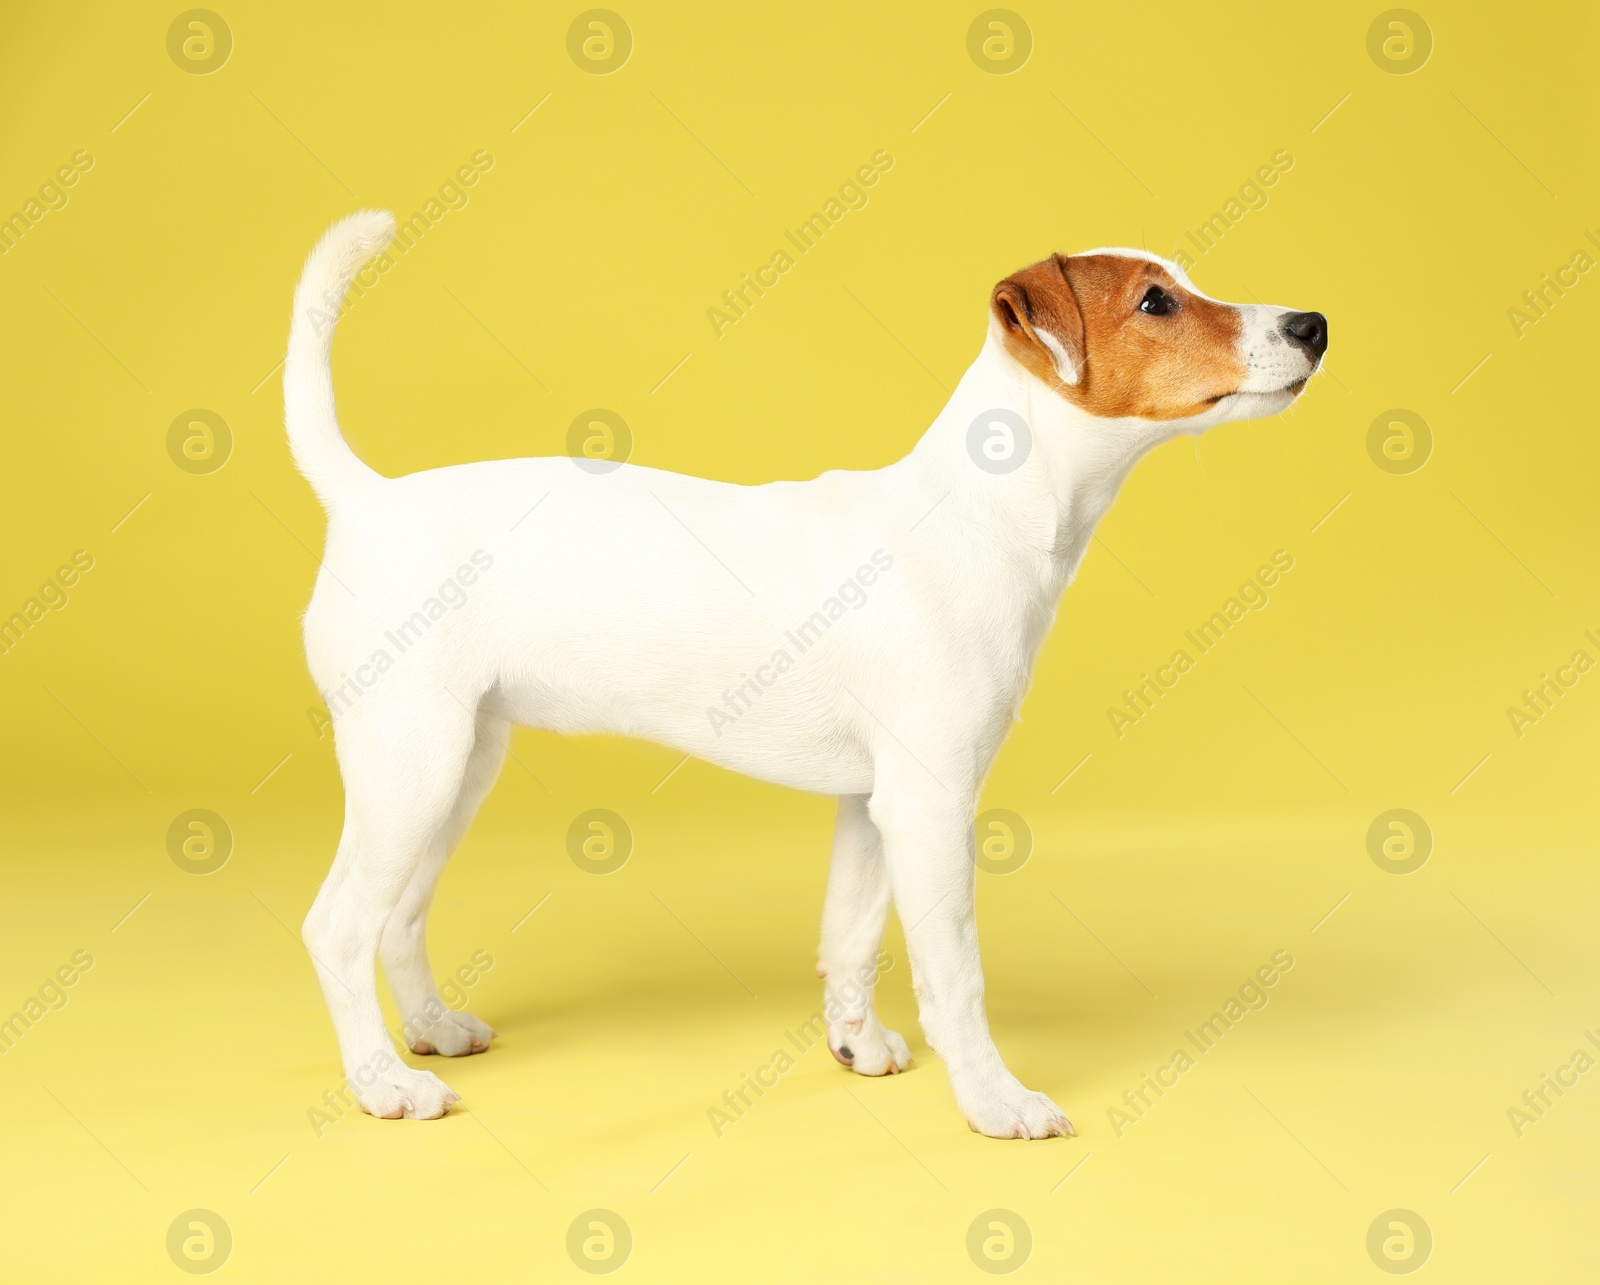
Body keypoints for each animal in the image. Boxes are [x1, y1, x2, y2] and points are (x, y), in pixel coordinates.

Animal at [288, 212, 1324, 1145]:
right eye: (1156, 301)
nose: (1312, 323)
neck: (978, 513)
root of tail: (367, 499)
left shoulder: (871, 804)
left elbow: (850, 937)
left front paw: (857, 1045)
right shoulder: (930, 802)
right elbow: (956, 974)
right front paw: (995, 1101)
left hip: (460, 765)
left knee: (399, 917)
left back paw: (430, 1031)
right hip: (410, 765)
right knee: (338, 926)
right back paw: (383, 1085)